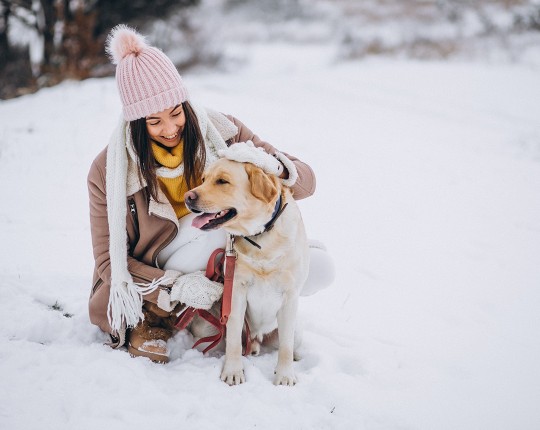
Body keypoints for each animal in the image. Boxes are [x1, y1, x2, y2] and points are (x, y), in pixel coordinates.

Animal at [185, 158, 308, 386]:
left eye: (222, 181)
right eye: (204, 179)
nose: (188, 197)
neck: (261, 238)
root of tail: (256, 337)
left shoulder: (290, 297)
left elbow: (286, 347)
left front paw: (285, 375)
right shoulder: (237, 292)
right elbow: (233, 341)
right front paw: (233, 372)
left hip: (297, 329)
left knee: (290, 344)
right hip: (208, 326)